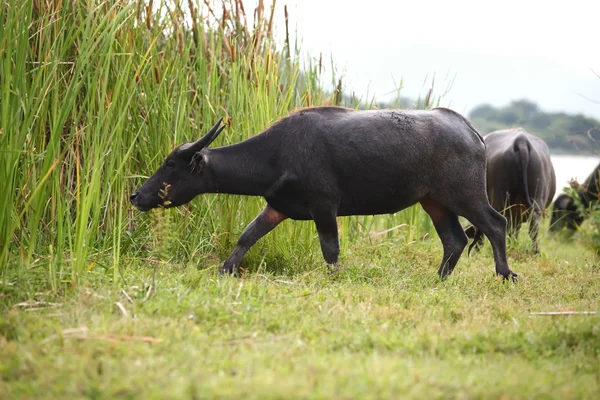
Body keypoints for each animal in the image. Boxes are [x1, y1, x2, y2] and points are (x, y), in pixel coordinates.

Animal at [130, 108, 516, 280]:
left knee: (496, 224)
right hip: (433, 201)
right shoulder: (277, 207)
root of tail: (471, 130)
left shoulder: (324, 206)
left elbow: (330, 248)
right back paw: (438, 278)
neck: (277, 154)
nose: (136, 196)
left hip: (465, 195)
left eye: (170, 164)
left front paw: (334, 278)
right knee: (455, 239)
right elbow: (247, 236)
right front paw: (226, 269)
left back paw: (504, 272)